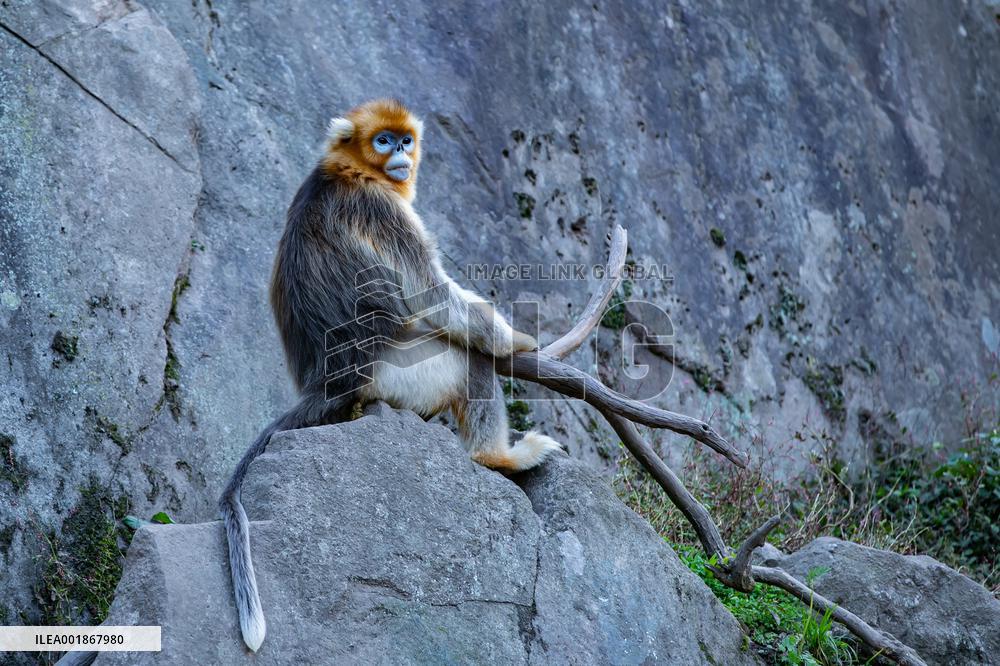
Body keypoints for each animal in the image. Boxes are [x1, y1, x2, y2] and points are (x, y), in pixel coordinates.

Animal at [219, 99, 562, 652]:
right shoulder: (379, 207)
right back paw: (498, 456)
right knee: (470, 361)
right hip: (402, 373)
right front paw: (514, 340)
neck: (349, 170)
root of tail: (328, 383)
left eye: (404, 140)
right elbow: (433, 297)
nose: (399, 155)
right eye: (383, 141)